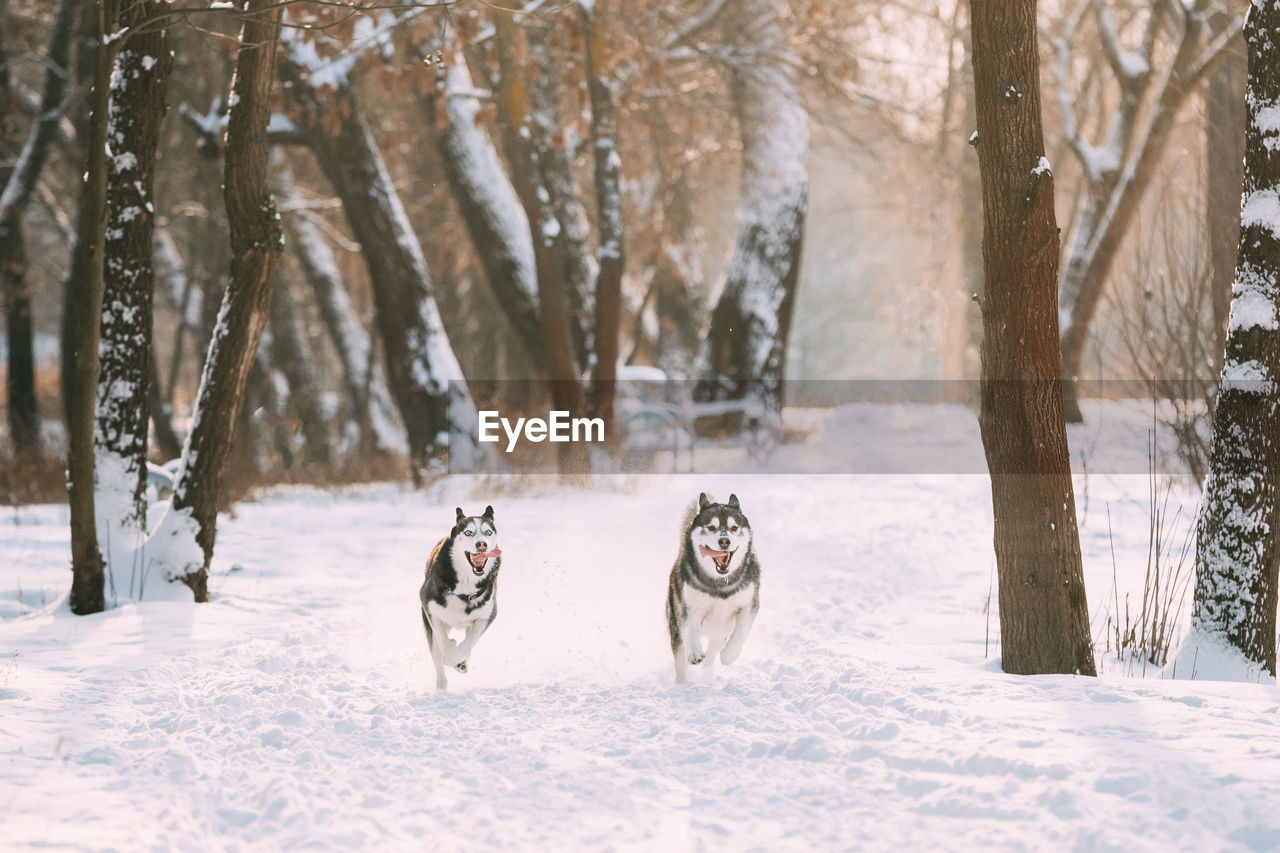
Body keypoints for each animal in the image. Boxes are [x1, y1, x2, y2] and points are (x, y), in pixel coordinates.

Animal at [417, 502, 501, 686]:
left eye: (488, 532)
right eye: (468, 532)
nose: (482, 544)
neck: (465, 586)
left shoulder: (486, 615)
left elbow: (469, 642)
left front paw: (457, 658)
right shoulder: (430, 607)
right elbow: (442, 641)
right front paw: (450, 651)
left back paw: (461, 662)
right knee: (437, 658)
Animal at [670, 489, 757, 681]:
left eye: (734, 528)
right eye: (711, 527)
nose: (724, 541)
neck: (720, 584)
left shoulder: (749, 603)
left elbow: (742, 630)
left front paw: (729, 655)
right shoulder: (687, 606)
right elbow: (691, 628)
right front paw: (695, 652)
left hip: (719, 632)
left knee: (711, 655)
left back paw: (707, 676)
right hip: (676, 628)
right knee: (681, 662)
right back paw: (682, 684)